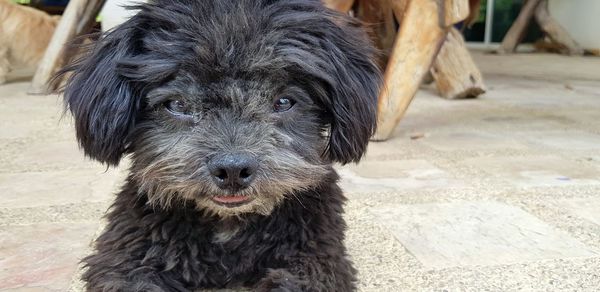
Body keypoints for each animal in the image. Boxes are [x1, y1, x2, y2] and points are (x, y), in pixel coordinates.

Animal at [61, 1, 382, 290]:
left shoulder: (319, 258)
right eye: (176, 104)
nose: (232, 170)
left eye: (284, 101)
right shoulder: (124, 257)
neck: (229, 224)